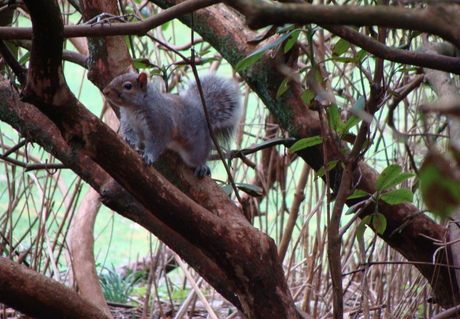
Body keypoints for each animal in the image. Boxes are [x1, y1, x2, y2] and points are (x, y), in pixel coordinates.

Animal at [103, 71, 243, 179]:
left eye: (128, 86)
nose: (105, 91)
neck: (132, 108)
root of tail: (200, 109)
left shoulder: (160, 123)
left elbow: (157, 142)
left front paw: (149, 156)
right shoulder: (129, 122)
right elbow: (132, 135)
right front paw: (129, 141)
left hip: (196, 145)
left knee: (199, 156)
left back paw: (202, 166)